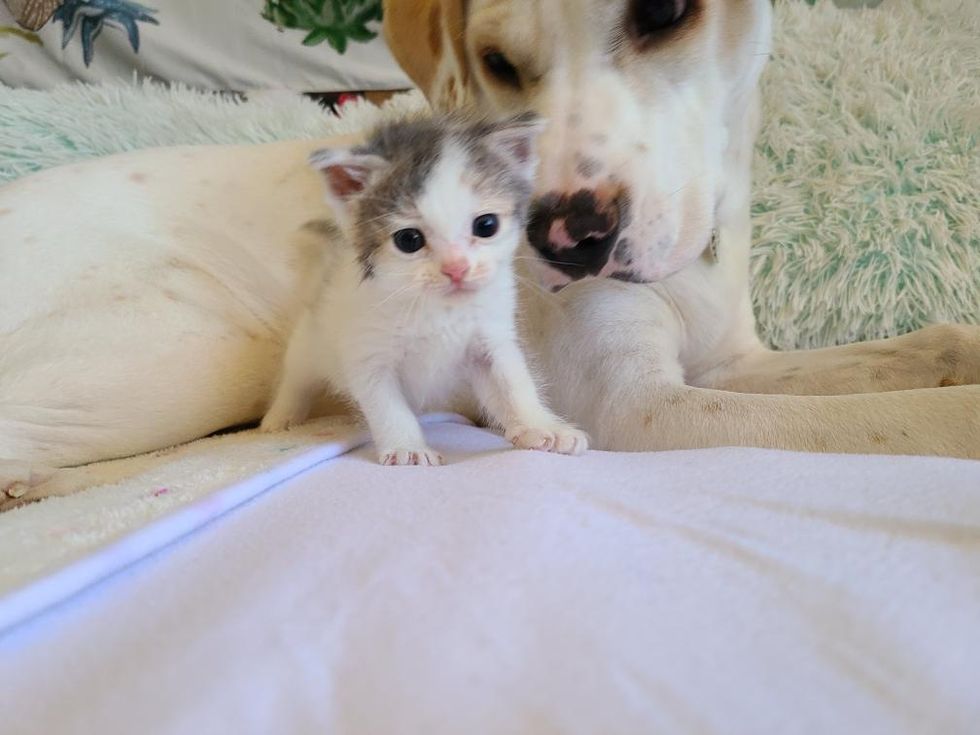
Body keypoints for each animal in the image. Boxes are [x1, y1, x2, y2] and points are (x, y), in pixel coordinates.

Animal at [258, 113, 588, 466]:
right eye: (409, 240)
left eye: (486, 225)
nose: (456, 268)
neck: (437, 307)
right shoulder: (367, 353)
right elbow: (387, 405)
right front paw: (407, 449)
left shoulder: (490, 338)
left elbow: (513, 384)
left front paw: (543, 427)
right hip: (310, 342)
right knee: (296, 378)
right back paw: (280, 418)